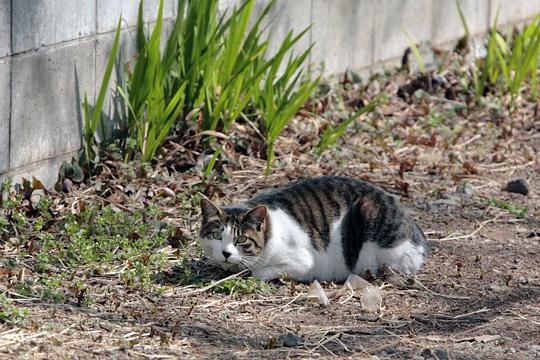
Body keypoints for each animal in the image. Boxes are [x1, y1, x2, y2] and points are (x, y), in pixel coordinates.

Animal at [199, 176, 430, 282]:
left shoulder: (301, 262)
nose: (226, 253)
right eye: (216, 235)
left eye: (242, 240)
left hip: (370, 213)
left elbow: (257, 273)